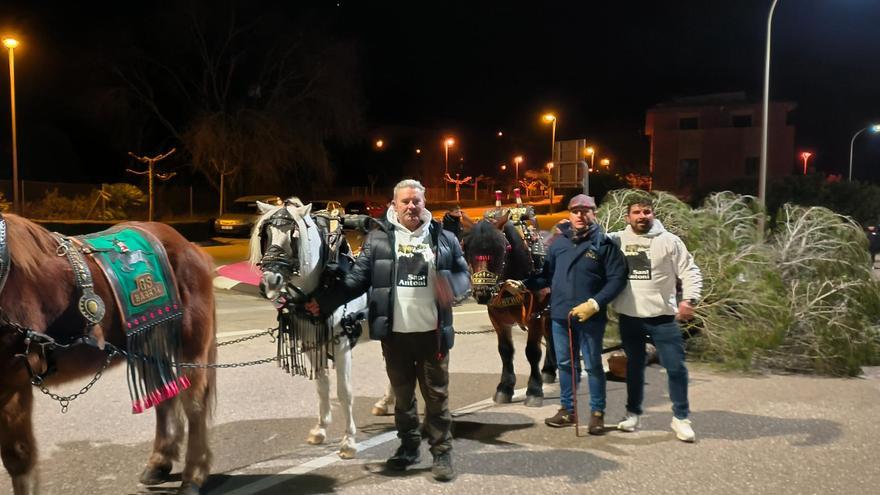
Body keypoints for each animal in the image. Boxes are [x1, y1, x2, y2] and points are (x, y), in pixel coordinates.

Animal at [0, 216, 217, 495]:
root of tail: (191, 247)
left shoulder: (12, 383)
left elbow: (19, 457)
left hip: (191, 346)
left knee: (194, 404)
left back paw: (193, 475)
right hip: (148, 345)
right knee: (165, 395)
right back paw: (159, 462)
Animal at [249, 199, 370, 462]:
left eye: (293, 237)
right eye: (266, 234)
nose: (269, 283)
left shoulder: (342, 342)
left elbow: (344, 392)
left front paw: (348, 441)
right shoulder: (311, 342)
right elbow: (322, 386)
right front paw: (321, 428)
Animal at [460, 216, 556, 406]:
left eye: (501, 248)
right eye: (466, 248)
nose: (482, 292)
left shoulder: (535, 315)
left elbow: (532, 351)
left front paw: (534, 389)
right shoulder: (497, 318)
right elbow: (505, 350)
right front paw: (505, 387)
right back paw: (549, 369)